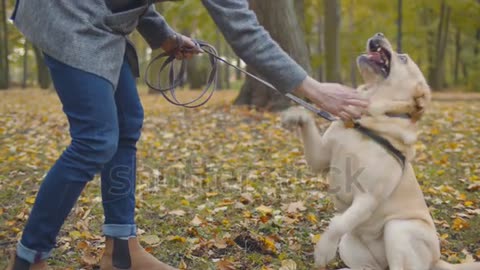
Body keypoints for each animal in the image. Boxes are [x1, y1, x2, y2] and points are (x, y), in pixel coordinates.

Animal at [282, 33, 480, 270]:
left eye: (403, 58)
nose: (379, 35)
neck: (365, 120)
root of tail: (437, 260)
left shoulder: (368, 197)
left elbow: (338, 223)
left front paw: (323, 250)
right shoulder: (320, 157)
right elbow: (307, 124)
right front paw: (295, 114)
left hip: (398, 229)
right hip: (350, 244)